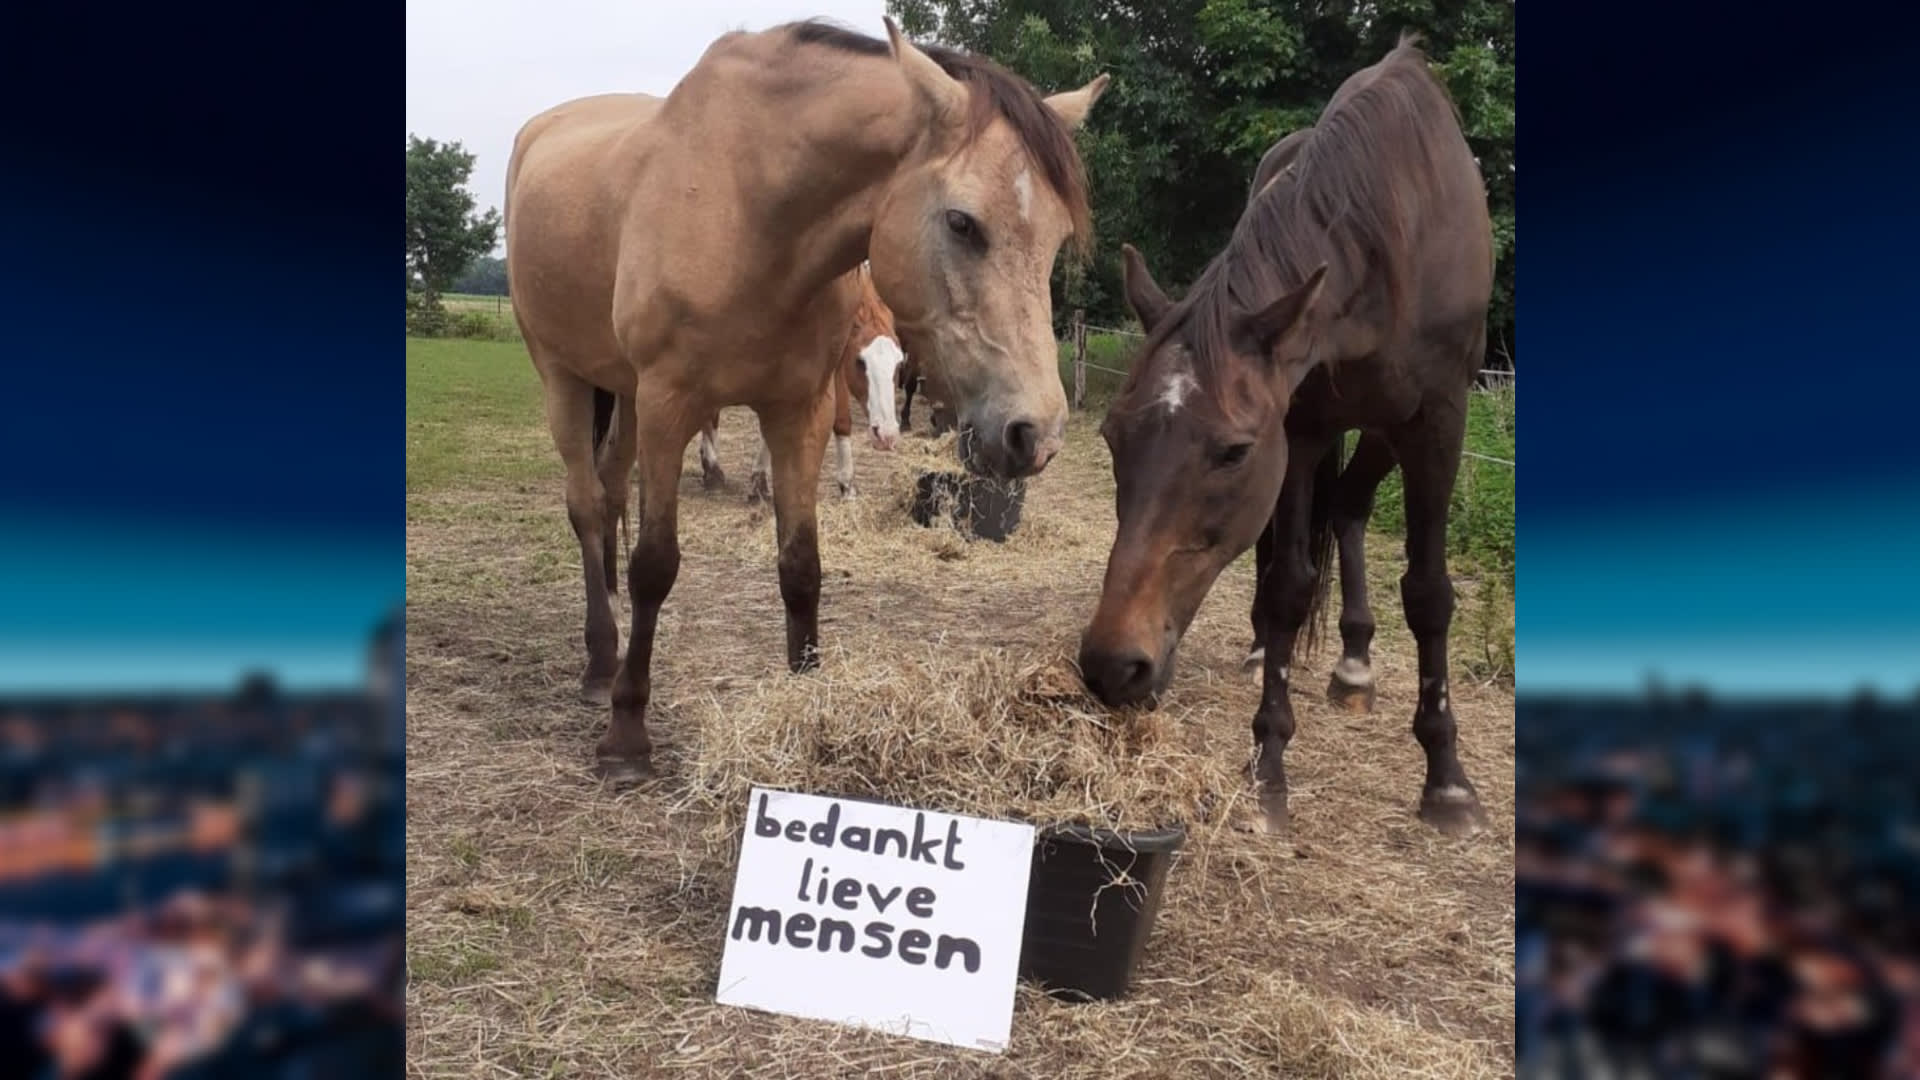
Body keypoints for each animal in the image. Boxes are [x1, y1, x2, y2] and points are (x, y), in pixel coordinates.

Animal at [698, 261, 906, 499]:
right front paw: (759, 482)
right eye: (860, 361)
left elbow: (841, 419)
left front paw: (847, 483)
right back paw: (712, 470)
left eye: (899, 362)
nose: (887, 436)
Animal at [1075, 37, 1489, 834]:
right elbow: (1288, 587)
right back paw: (1302, 656)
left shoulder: (1436, 421)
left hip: (1385, 430)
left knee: (1352, 507)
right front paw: (1268, 764)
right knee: (1316, 535)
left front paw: (1448, 779)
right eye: (1111, 438)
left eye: (1233, 451)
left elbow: (1428, 593)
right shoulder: (1299, 427)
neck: (1390, 227)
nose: (1113, 665)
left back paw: (1355, 666)